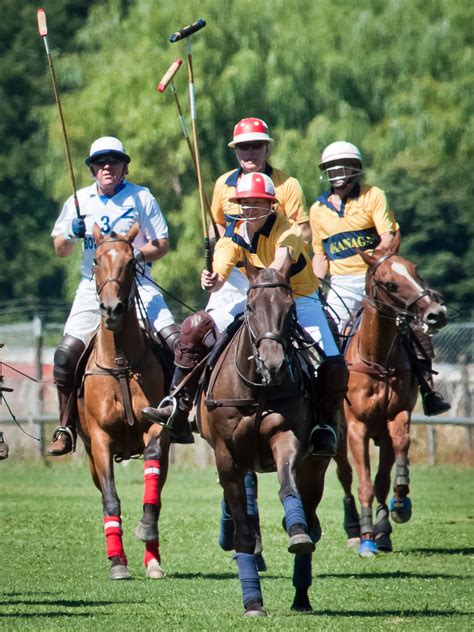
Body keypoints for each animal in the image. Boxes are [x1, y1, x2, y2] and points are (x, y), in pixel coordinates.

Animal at [78, 225, 171, 580]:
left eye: (132, 262)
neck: (120, 361)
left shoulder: (156, 428)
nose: (112, 309)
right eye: (96, 261)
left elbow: (153, 489)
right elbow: (110, 500)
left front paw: (147, 535)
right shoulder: (100, 440)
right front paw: (117, 563)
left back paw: (152, 559)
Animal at [200, 266, 330, 616]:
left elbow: (287, 487)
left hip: (315, 467)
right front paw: (253, 602)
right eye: (251, 307)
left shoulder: (287, 436)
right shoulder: (226, 456)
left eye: (291, 309)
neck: (256, 388)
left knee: (312, 516)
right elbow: (243, 530)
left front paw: (296, 533)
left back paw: (301, 594)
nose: (274, 364)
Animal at [334, 242, 448, 556]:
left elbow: (391, 465)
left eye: (415, 270)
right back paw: (353, 530)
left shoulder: (394, 417)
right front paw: (367, 537)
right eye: (389, 283)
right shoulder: (357, 427)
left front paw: (396, 510)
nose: (436, 313)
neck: (378, 359)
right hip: (336, 434)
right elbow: (364, 483)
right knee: (345, 474)